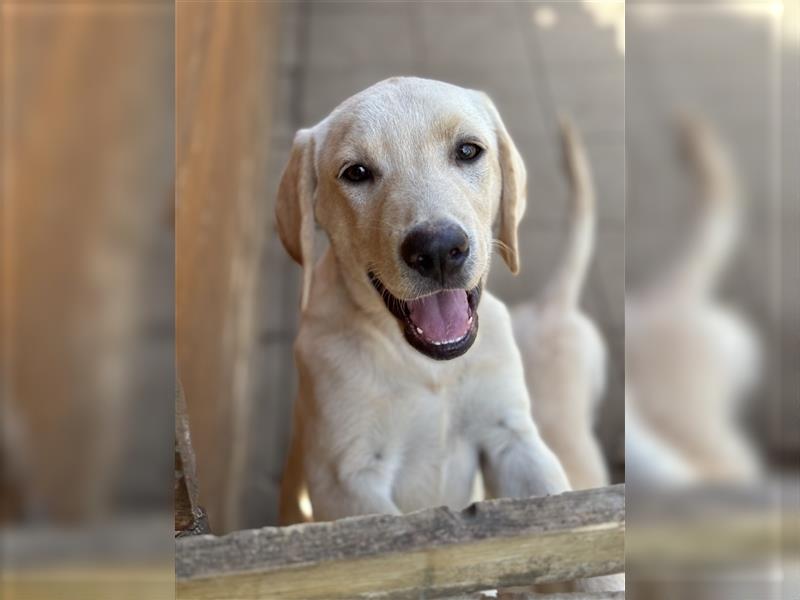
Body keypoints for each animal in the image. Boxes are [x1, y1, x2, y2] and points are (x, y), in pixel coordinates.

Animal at [276, 77, 568, 524]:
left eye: (467, 150)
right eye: (356, 172)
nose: (438, 250)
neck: (429, 369)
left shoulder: (511, 436)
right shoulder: (345, 482)